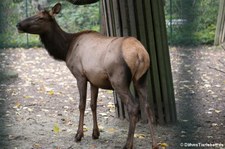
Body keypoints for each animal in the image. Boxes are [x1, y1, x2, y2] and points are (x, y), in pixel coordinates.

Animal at [16, 2, 159, 149]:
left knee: (134, 107)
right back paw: (155, 143)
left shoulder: (80, 75)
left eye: (40, 18)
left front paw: (78, 135)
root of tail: (141, 54)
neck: (66, 49)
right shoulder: (94, 80)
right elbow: (93, 105)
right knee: (147, 106)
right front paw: (95, 133)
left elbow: (81, 104)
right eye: (34, 14)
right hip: (141, 79)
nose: (18, 24)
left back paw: (128, 144)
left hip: (118, 80)